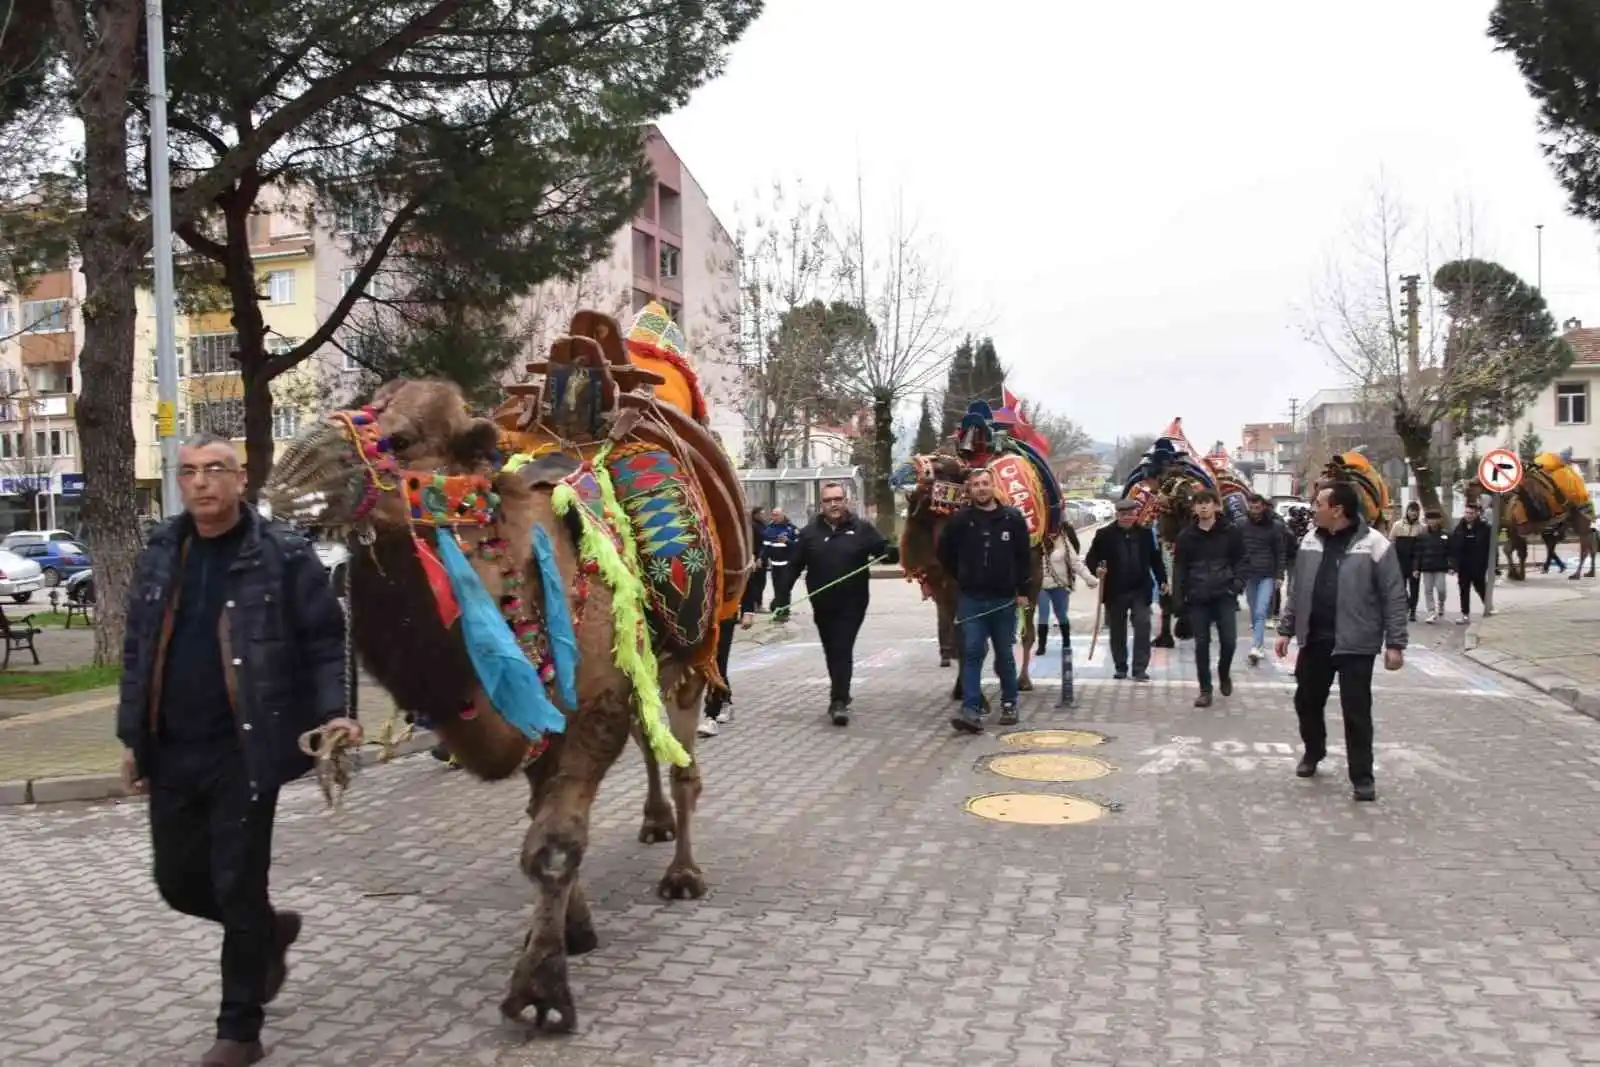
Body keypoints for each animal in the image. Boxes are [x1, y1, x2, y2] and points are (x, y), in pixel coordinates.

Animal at [262, 302, 748, 1036]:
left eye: (402, 438)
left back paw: (683, 873)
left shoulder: (592, 709)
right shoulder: (541, 707)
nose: (288, 474)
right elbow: (536, 822)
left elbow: (553, 845)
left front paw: (541, 993)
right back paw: (654, 822)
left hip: (691, 654)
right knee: (653, 743)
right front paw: (572, 930)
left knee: (683, 758)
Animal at [889, 404, 1062, 697]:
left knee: (1026, 629)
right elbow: (963, 639)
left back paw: (1022, 680)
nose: (901, 473)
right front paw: (962, 689)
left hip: (1033, 570)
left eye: (942, 466)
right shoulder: (943, 588)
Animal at [1497, 447, 1587, 579]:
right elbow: (1512, 549)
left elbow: (1515, 549)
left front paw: (1516, 574)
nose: (1505, 494)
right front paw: (1516, 574)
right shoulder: (1519, 528)